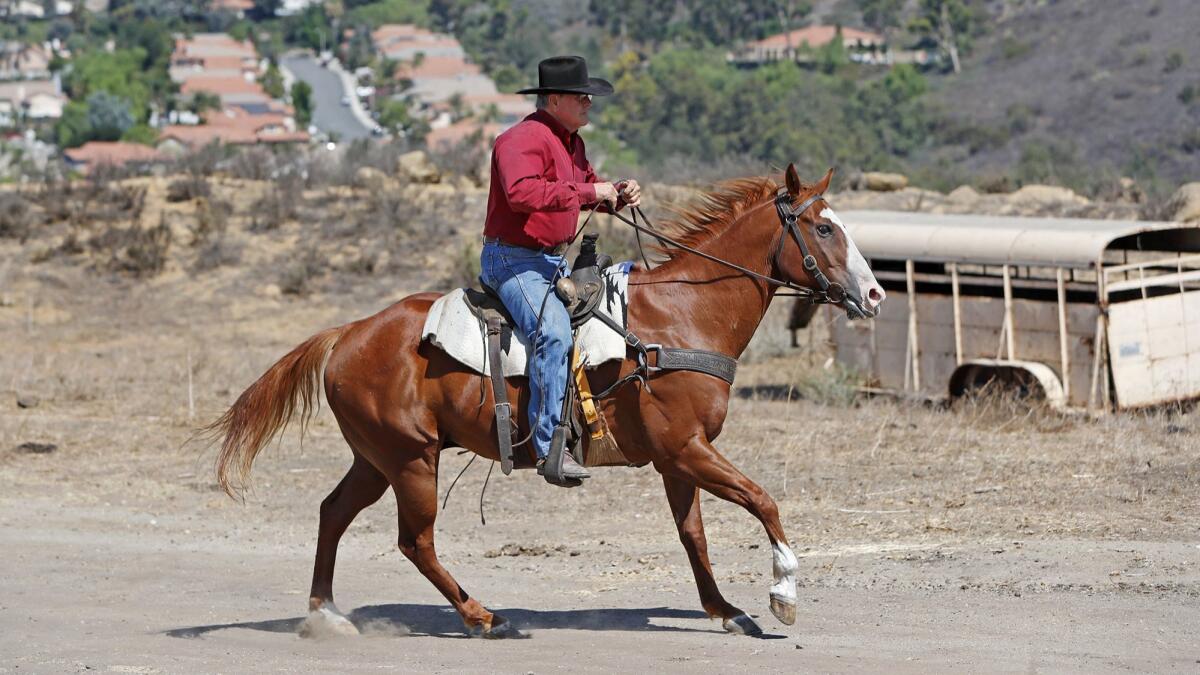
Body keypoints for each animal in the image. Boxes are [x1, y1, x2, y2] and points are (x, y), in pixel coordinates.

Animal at [206, 164, 888, 634]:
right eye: (824, 227)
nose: (876, 295)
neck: (682, 315)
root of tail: (348, 332)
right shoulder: (685, 449)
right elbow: (763, 501)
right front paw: (783, 595)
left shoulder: (678, 459)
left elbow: (693, 534)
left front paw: (724, 610)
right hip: (410, 460)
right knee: (414, 541)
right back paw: (481, 617)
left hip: (376, 459)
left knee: (333, 514)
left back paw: (325, 614)